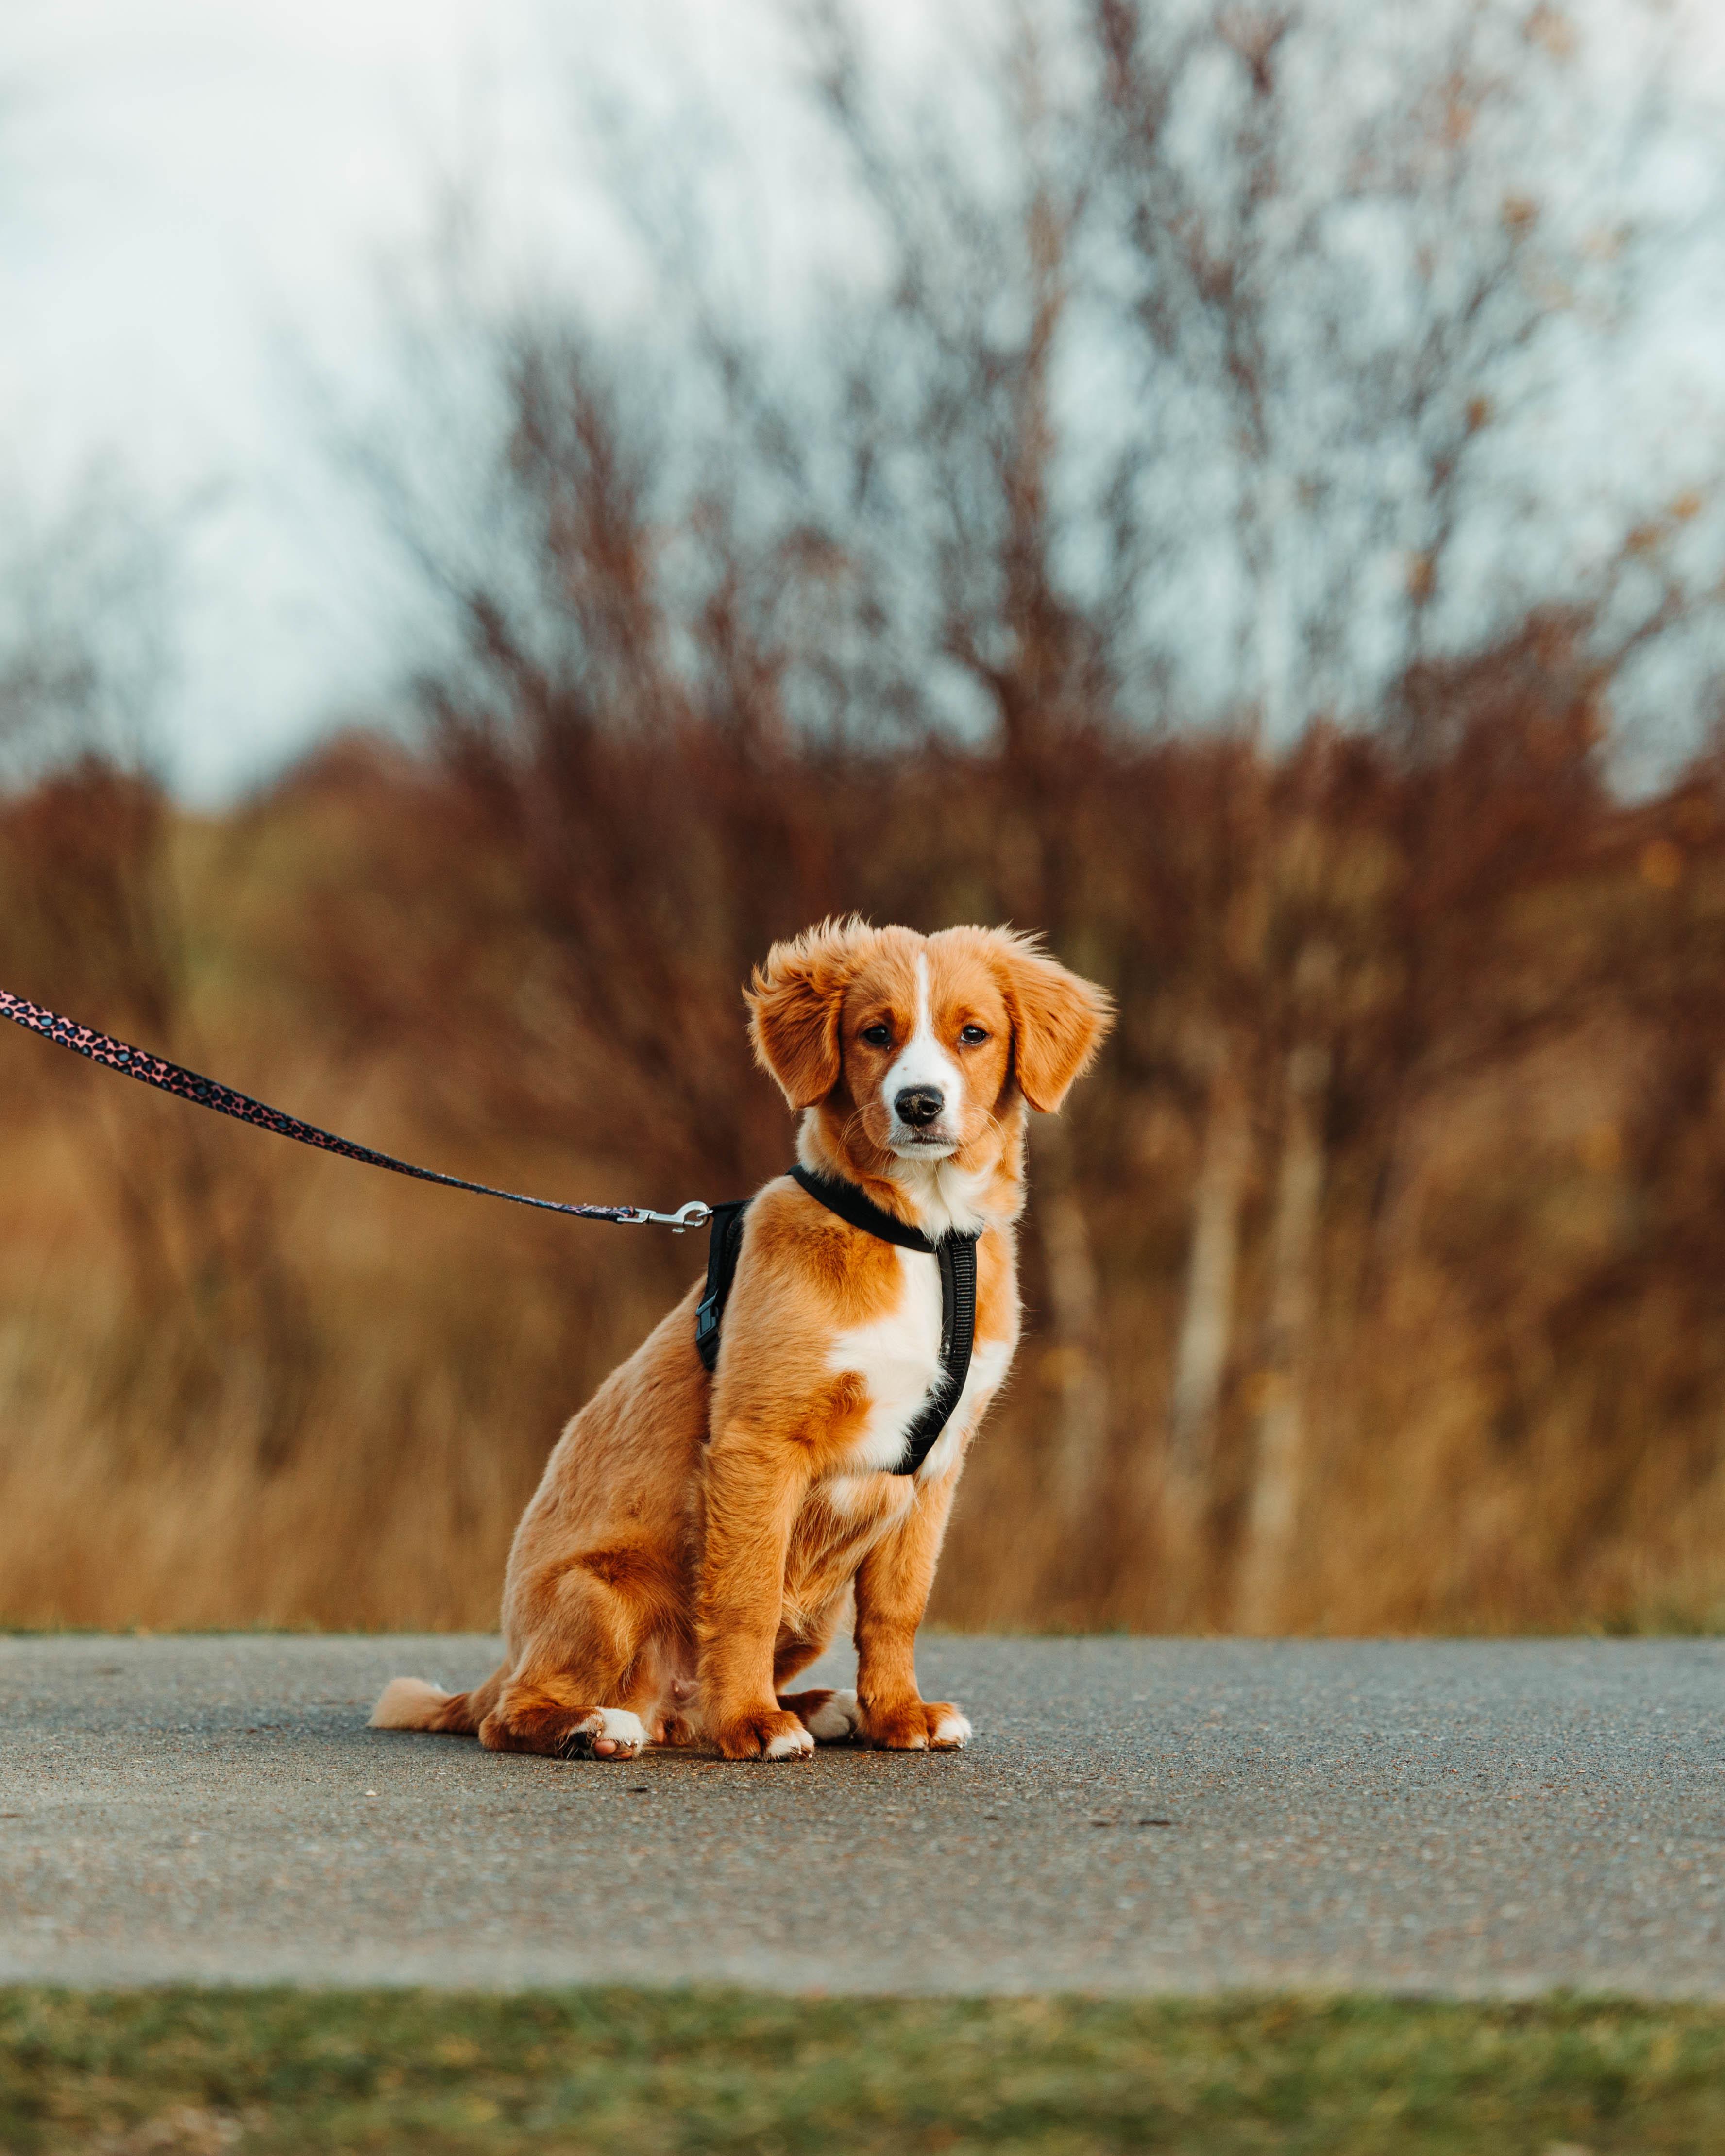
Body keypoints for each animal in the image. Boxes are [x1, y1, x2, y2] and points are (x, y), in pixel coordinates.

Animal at [371, 918, 1113, 1759]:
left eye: (974, 1035)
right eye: (876, 1034)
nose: (919, 1104)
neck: (921, 1235)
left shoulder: (936, 1467)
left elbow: (899, 1608)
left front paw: (899, 1714)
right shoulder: (759, 1444)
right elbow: (745, 1594)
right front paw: (753, 1724)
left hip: (812, 1611)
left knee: (680, 1713)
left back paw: (816, 1705)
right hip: (602, 1592)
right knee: (512, 1716)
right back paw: (603, 1726)